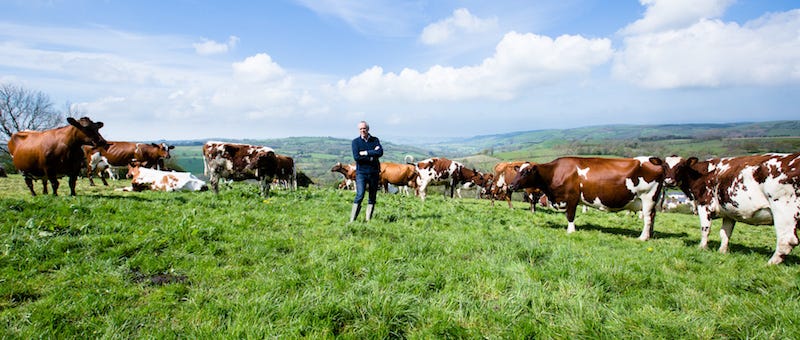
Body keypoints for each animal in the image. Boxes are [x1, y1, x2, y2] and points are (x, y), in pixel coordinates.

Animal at [510, 157, 664, 239]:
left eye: (526, 172)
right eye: (518, 171)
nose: (511, 185)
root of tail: (652, 160)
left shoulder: (572, 198)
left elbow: (570, 216)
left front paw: (571, 231)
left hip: (647, 198)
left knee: (648, 218)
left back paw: (643, 237)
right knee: (653, 216)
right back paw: (650, 235)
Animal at [664, 154, 800, 266]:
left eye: (681, 166)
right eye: (665, 166)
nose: (668, 181)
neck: (702, 173)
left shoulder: (704, 204)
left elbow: (705, 229)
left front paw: (702, 248)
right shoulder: (729, 212)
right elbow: (725, 233)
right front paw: (722, 251)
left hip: (783, 210)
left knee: (787, 240)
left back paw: (770, 263)